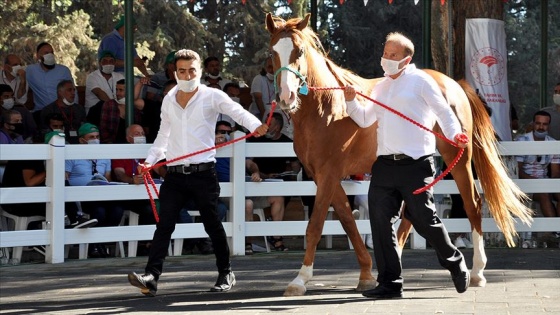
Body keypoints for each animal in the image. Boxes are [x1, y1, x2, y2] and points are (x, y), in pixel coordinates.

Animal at [266, 12, 532, 298]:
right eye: (273, 52)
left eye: (300, 51)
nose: (286, 96)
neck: (328, 107)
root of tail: (455, 84)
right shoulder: (323, 175)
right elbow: (348, 220)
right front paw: (366, 274)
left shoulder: (328, 174)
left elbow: (315, 225)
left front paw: (300, 279)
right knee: (410, 215)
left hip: (459, 159)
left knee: (472, 205)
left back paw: (476, 272)